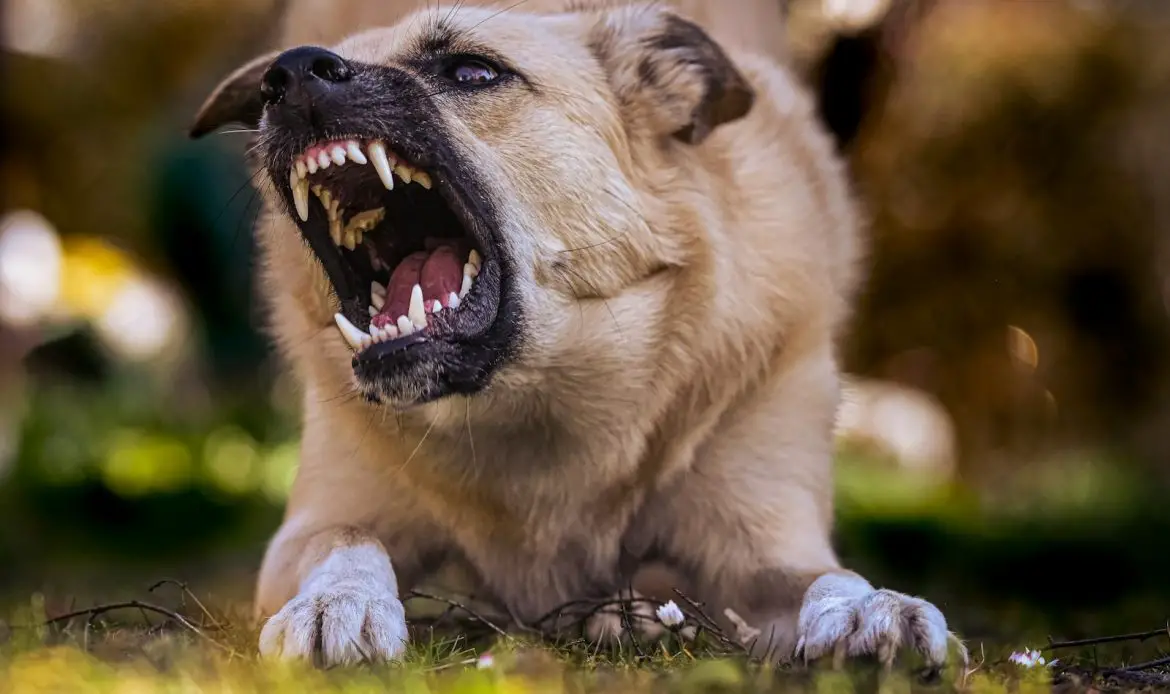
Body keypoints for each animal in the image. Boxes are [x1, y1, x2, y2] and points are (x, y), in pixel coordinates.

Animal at [189, 0, 959, 669]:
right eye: (276, 83)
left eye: (473, 71)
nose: (287, 75)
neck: (534, 405)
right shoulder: (316, 522)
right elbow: (348, 539)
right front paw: (335, 603)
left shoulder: (766, 545)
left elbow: (825, 577)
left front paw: (870, 608)